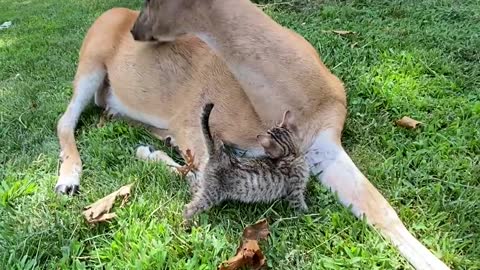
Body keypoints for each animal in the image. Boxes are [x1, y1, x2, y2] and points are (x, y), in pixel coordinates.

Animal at [182, 102, 310, 220]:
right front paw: (307, 214)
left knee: (194, 186)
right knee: (189, 207)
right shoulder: (295, 191)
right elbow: (299, 205)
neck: (292, 156)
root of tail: (218, 154)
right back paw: (186, 222)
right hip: (211, 193)